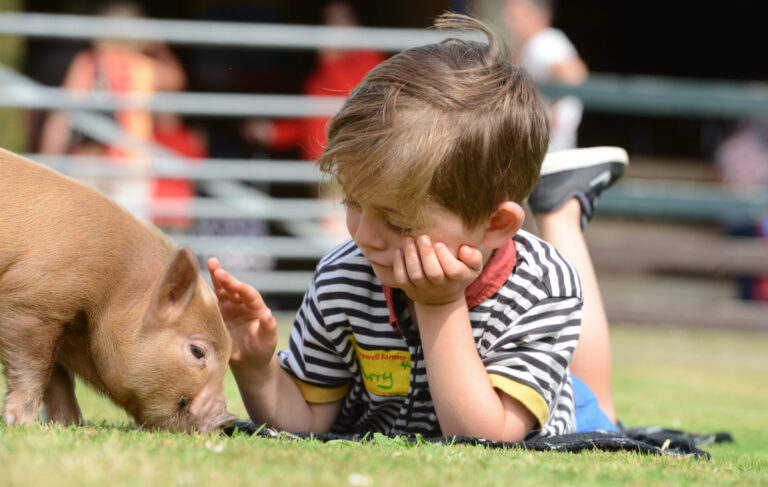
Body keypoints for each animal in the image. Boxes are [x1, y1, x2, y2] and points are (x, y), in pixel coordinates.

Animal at [0, 148, 235, 433]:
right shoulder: (32, 305)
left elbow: (58, 377)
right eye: (197, 351)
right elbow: (33, 368)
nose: (227, 419)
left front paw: (69, 423)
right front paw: (24, 424)